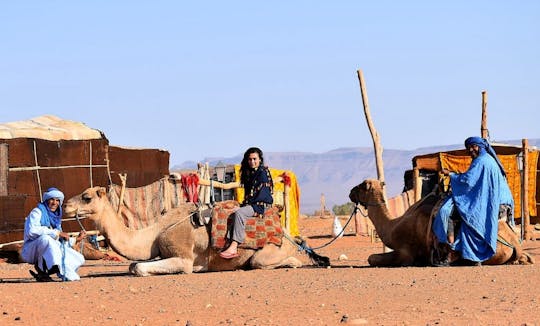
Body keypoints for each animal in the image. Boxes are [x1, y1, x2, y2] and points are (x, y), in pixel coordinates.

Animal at [62, 186, 312, 276]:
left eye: (87, 197)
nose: (65, 205)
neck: (155, 234)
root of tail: (289, 236)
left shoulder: (184, 259)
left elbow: (139, 267)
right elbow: (133, 265)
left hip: (269, 252)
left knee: (268, 261)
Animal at [348, 178, 532, 268]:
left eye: (361, 186)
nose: (350, 192)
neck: (393, 226)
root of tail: (515, 244)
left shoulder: (406, 252)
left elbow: (372, 258)